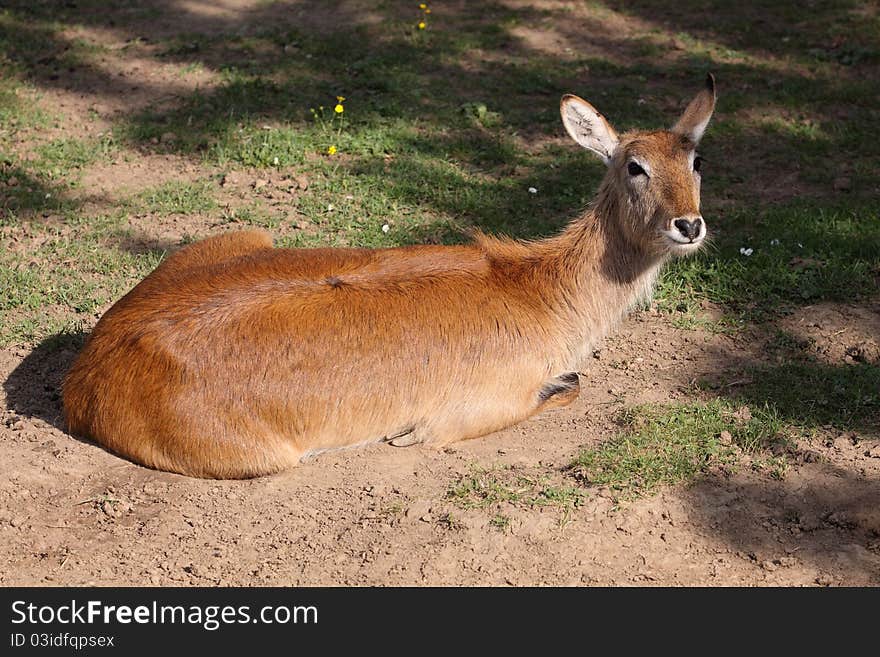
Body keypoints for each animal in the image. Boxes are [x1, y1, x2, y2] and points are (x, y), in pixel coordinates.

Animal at [65, 75, 720, 476]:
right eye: (634, 165)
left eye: (695, 159)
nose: (689, 224)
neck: (537, 289)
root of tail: (86, 376)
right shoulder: (475, 408)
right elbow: (568, 386)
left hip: (245, 236)